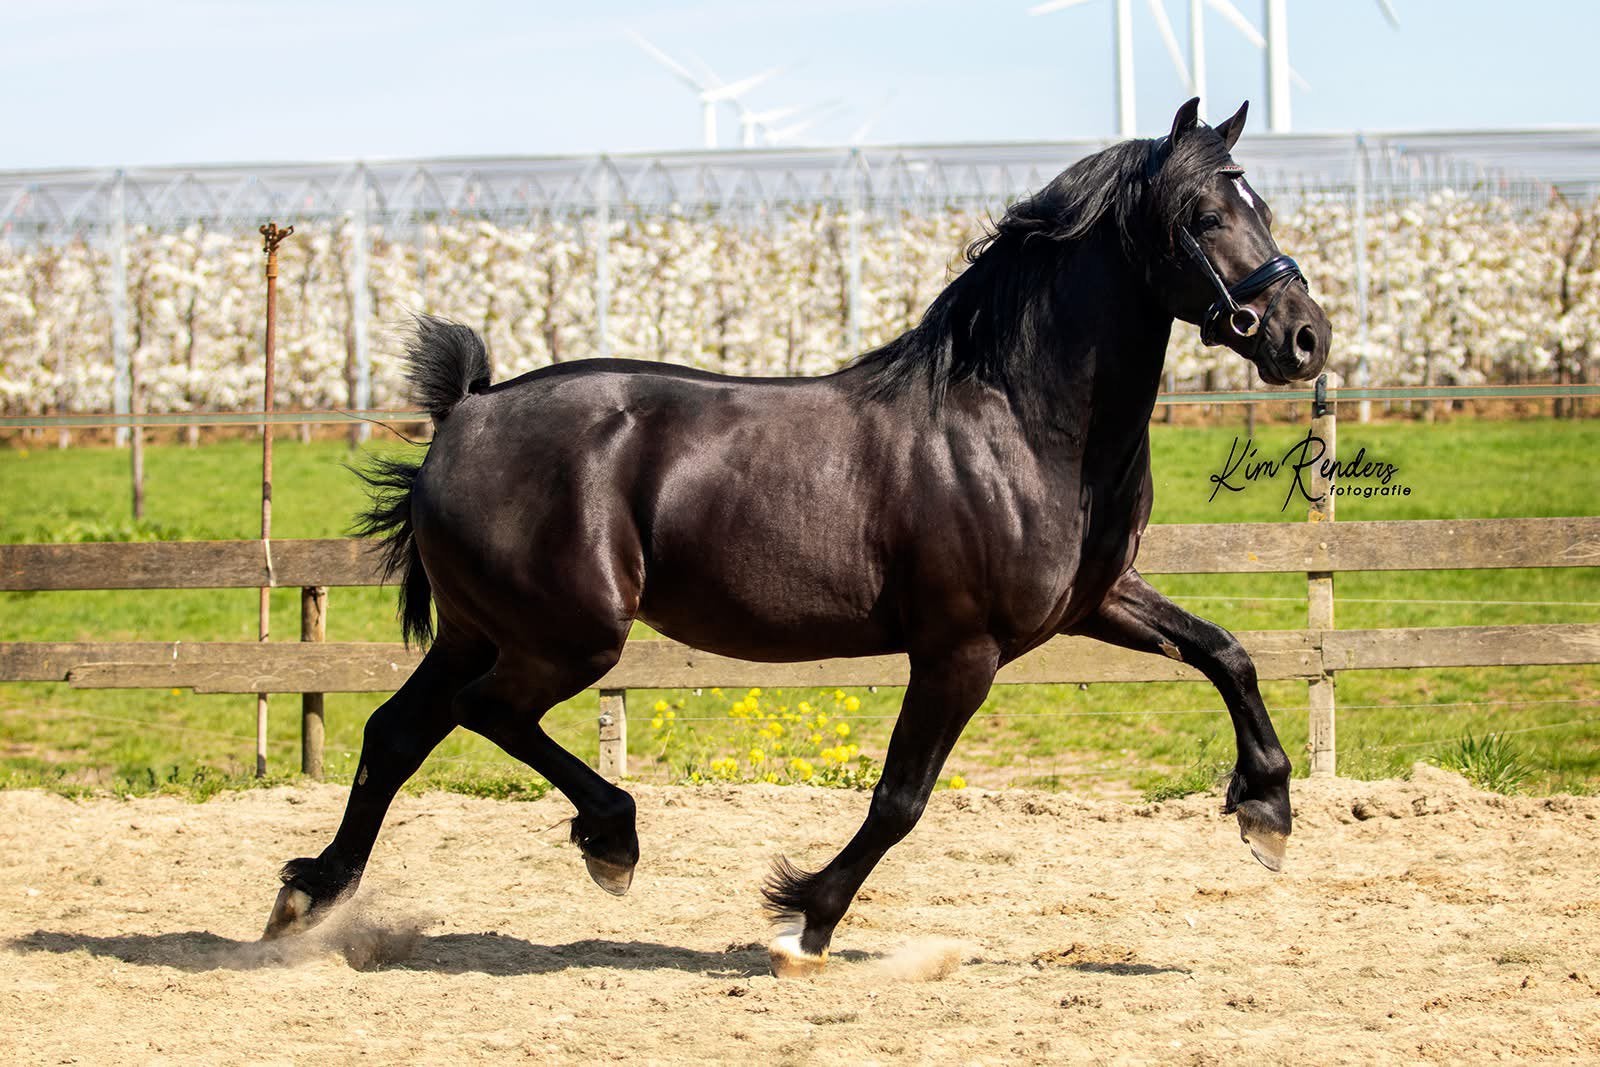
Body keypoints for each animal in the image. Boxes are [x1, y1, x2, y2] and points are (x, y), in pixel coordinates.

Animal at [263, 98, 1331, 977]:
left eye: (1261, 203)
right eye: (1204, 215)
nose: (1304, 337)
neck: (1016, 422)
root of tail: (465, 412)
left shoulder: (1093, 601)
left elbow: (1226, 651)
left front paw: (1268, 813)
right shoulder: (962, 650)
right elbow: (900, 799)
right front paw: (802, 921)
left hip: (478, 629)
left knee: (397, 732)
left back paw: (309, 894)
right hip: (568, 639)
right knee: (485, 714)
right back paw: (612, 840)